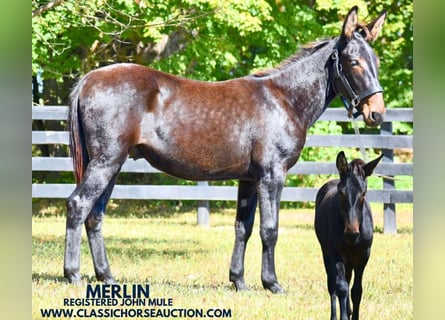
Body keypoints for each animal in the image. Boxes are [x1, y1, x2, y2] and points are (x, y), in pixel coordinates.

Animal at [63, 6, 386, 294]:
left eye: (376, 61)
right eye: (354, 62)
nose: (377, 113)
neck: (283, 99)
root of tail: (89, 79)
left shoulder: (249, 179)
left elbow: (243, 227)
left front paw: (239, 281)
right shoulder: (271, 175)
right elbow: (270, 229)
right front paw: (272, 284)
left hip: (112, 165)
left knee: (95, 215)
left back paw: (106, 277)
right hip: (105, 162)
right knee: (78, 205)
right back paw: (73, 274)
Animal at [314, 151, 384, 318]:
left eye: (363, 193)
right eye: (341, 192)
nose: (352, 234)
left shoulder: (363, 255)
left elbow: (356, 290)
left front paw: (354, 315)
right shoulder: (335, 254)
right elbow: (342, 288)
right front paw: (344, 316)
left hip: (350, 260)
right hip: (327, 253)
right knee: (332, 285)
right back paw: (335, 315)